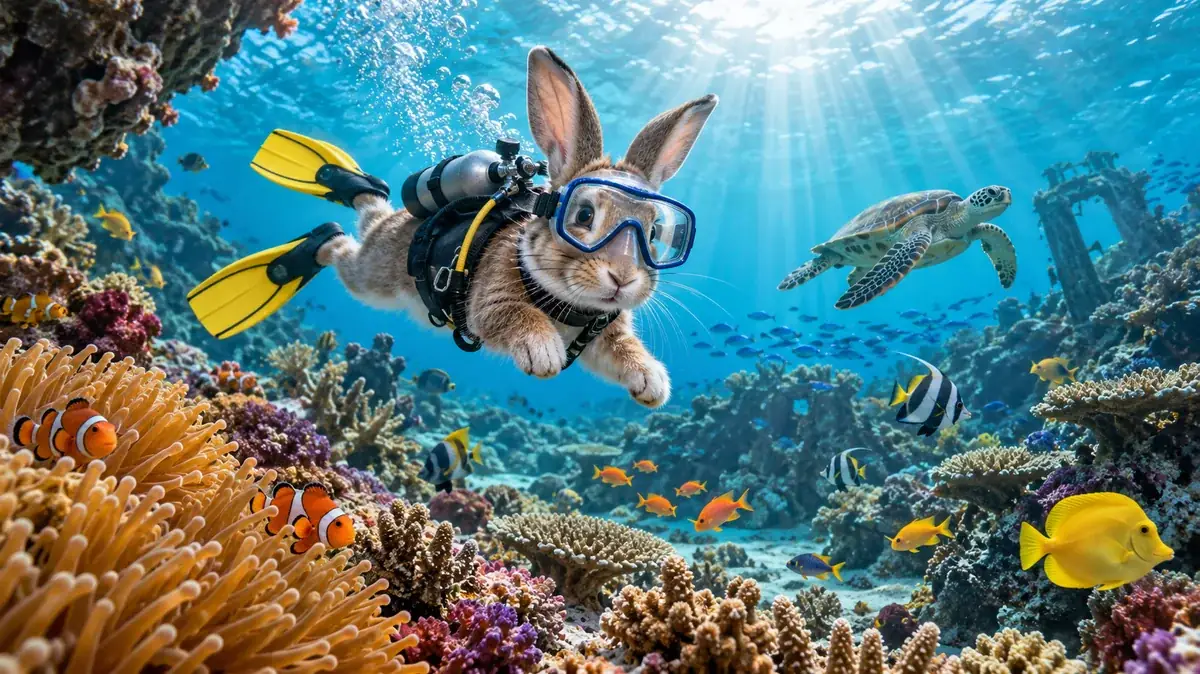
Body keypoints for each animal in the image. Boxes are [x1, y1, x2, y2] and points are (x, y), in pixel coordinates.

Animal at [314, 46, 718, 408]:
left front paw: (651, 382)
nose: (622, 278)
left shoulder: (602, 338)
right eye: (584, 215)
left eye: (653, 232)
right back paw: (329, 222)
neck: (568, 302)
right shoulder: (490, 299)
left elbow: (622, 349)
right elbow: (512, 315)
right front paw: (544, 353)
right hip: (375, 277)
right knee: (352, 248)